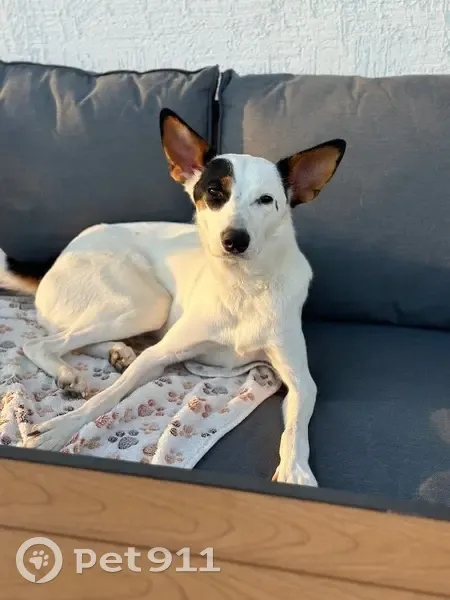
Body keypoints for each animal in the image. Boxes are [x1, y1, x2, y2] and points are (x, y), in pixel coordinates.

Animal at [0, 109, 346, 484]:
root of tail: (58, 256)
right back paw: (73, 372)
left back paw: (115, 353)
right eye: (214, 192)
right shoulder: (158, 356)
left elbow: (295, 428)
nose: (235, 240)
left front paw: (295, 472)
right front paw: (61, 427)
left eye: (266, 200)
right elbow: (108, 396)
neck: (242, 286)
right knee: (42, 342)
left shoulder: (301, 381)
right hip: (145, 304)